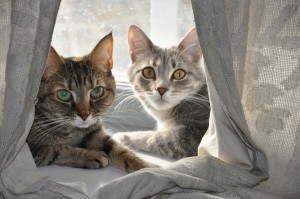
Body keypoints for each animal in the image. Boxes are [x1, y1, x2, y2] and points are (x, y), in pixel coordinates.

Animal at [26, 33, 156, 173]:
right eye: (64, 94)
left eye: (97, 91)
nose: (84, 115)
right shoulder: (33, 148)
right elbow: (57, 149)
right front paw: (90, 155)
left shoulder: (96, 132)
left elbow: (121, 150)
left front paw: (150, 168)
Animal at [113, 25, 210, 159]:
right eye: (148, 72)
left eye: (179, 74)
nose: (161, 89)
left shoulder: (195, 136)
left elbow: (156, 138)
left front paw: (122, 136)